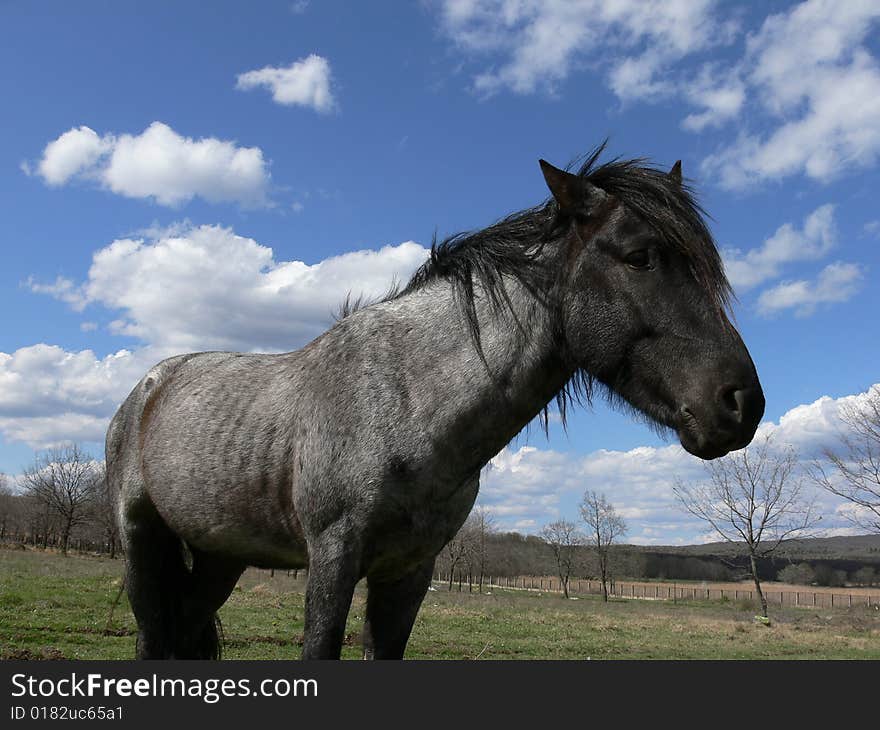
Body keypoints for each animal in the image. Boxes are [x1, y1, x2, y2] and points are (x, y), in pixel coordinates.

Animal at [105, 145, 764, 656]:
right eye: (638, 256)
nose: (743, 404)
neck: (408, 402)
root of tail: (149, 388)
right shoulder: (333, 558)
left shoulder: (410, 572)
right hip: (141, 542)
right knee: (153, 637)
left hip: (222, 553)